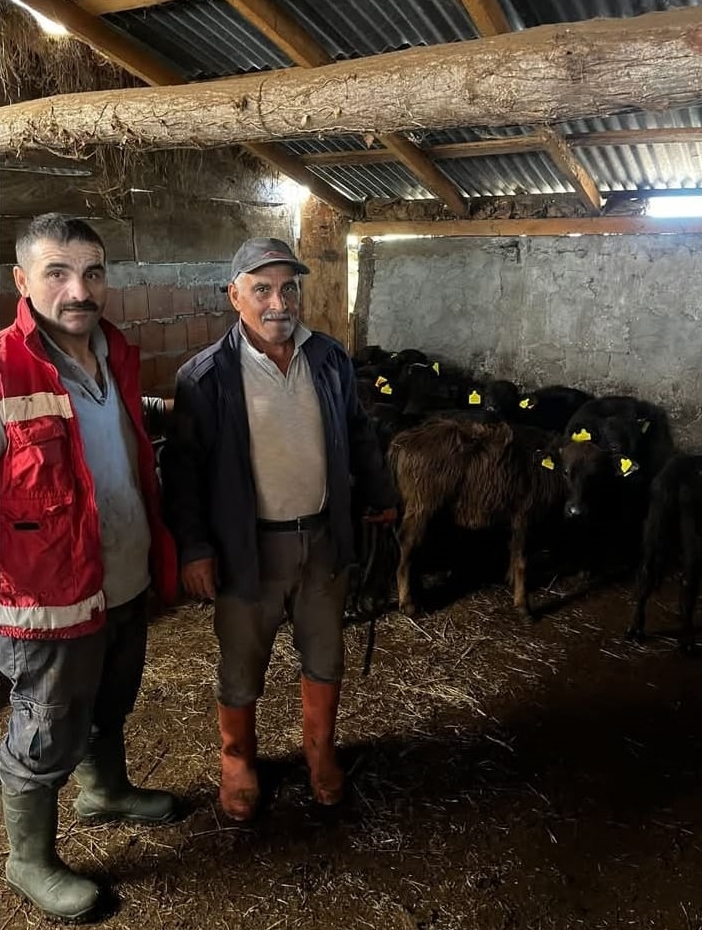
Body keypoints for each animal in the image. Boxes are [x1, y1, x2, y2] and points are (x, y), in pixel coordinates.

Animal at [388, 418, 567, 619]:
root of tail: (403, 441)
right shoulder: (523, 515)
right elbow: (521, 559)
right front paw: (523, 606)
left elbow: (513, 551)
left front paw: (510, 580)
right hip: (421, 506)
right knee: (407, 544)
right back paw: (409, 603)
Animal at [627, 453, 702, 651]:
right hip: (693, 527)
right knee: (690, 574)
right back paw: (687, 639)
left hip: (656, 516)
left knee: (646, 570)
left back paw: (635, 629)